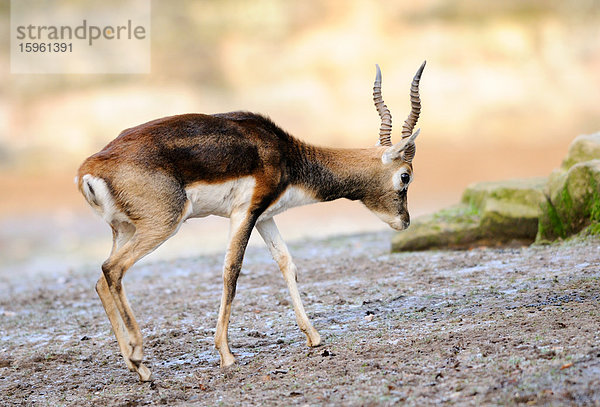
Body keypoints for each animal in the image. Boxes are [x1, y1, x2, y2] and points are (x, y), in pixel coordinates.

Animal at [77, 61, 426, 382]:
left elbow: (287, 264)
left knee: (101, 280)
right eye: (405, 176)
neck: (286, 155)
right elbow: (232, 271)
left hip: (125, 229)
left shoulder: (264, 217)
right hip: (162, 225)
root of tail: (89, 168)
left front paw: (313, 337)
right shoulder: (244, 213)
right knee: (112, 269)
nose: (404, 221)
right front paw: (226, 355)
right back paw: (140, 359)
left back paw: (135, 366)